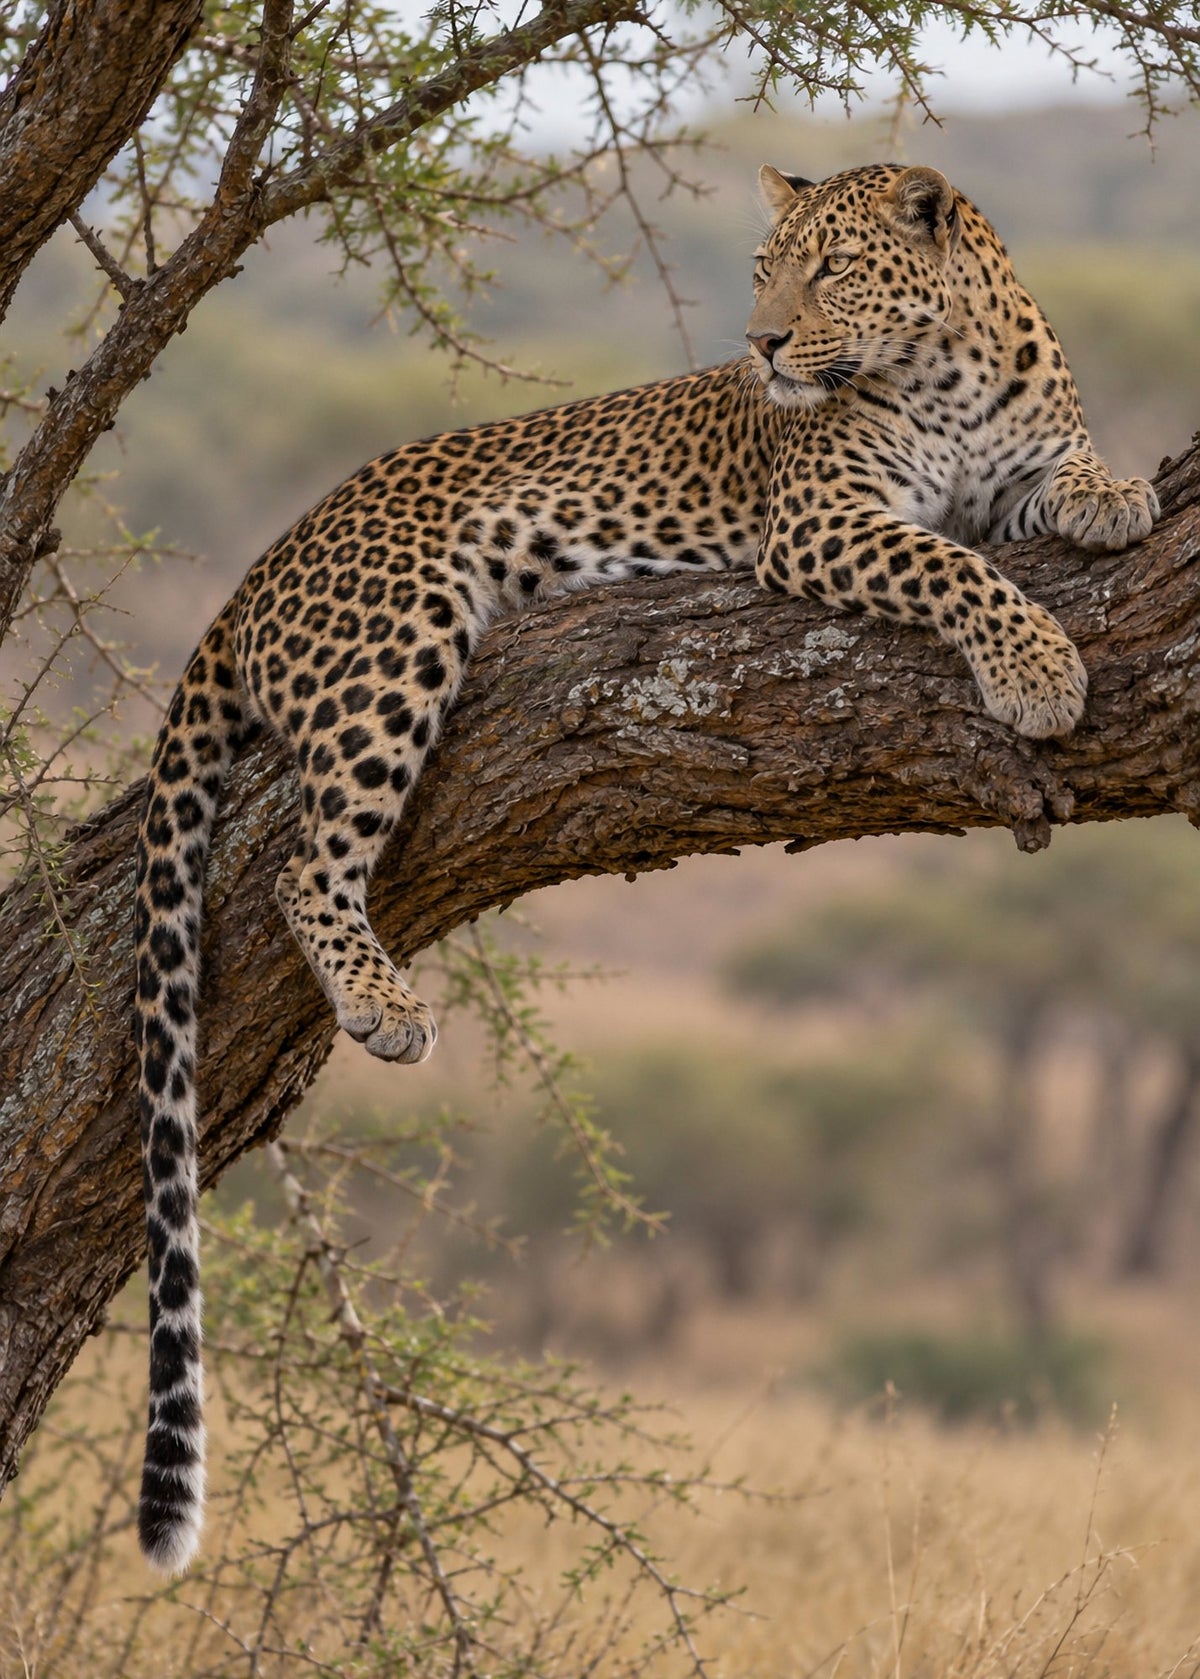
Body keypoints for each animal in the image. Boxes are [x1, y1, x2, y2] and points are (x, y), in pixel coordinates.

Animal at [133, 160, 1158, 1572]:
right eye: (766, 269)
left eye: (832, 269)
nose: (764, 345)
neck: (947, 365)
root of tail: (264, 564)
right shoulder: (825, 520)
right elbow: (952, 563)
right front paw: (1039, 669)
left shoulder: (1002, 476)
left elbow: (1056, 474)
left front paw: (1115, 494)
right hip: (398, 641)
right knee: (303, 863)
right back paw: (382, 1004)